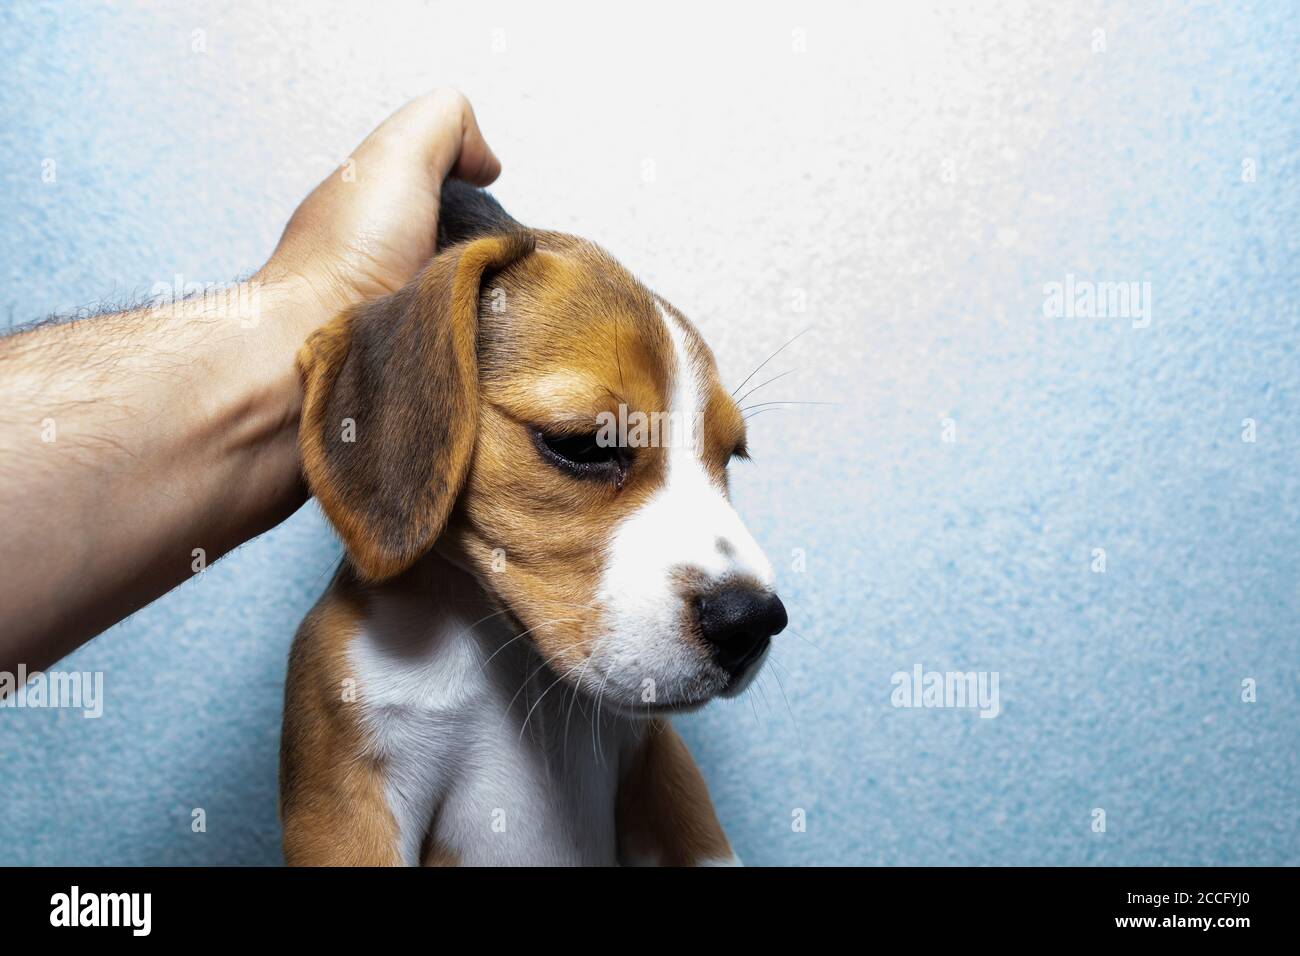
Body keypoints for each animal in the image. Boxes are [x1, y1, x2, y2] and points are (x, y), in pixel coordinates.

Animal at [280, 179, 785, 868]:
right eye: (585, 445)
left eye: (730, 456)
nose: (752, 622)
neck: (512, 657)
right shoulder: (348, 802)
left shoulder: (660, 769)